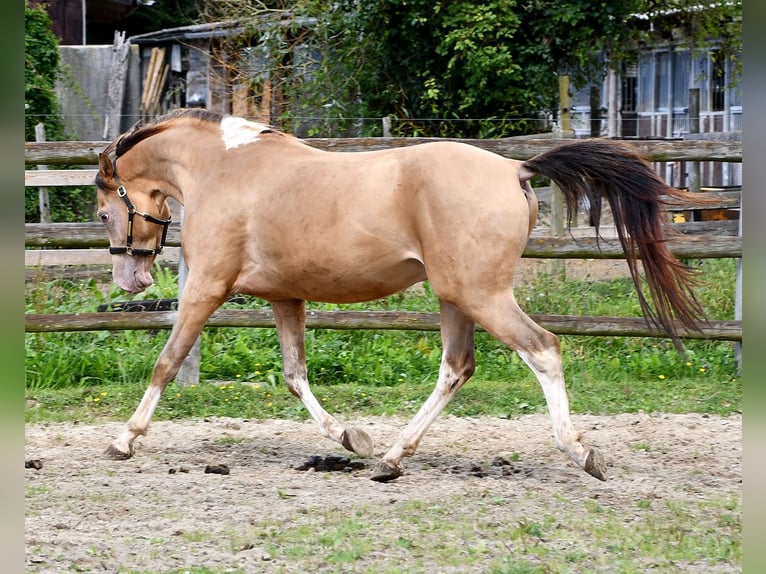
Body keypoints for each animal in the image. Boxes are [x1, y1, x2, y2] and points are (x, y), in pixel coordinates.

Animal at [96, 110, 708, 484]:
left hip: (480, 294)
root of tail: (515, 168)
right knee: (457, 368)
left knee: (542, 349)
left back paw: (581, 452)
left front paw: (124, 441)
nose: (131, 282)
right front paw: (353, 438)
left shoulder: (207, 287)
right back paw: (390, 458)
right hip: (455, 297)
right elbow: (295, 376)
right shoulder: (285, 297)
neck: (223, 167)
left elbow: (167, 362)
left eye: (104, 211)